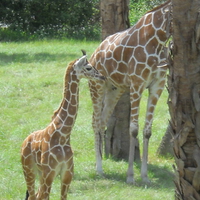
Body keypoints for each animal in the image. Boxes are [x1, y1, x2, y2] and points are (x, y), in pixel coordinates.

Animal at [20, 50, 105, 200]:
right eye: (88, 67)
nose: (102, 77)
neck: (63, 135)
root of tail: (25, 141)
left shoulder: (67, 174)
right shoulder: (50, 173)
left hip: (40, 173)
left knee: (36, 195)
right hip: (29, 170)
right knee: (33, 196)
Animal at [88, 0, 171, 184]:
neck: (158, 40)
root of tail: (93, 55)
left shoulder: (158, 85)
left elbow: (147, 130)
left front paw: (145, 176)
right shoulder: (137, 83)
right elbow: (133, 129)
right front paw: (131, 176)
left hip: (114, 90)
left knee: (102, 122)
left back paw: (101, 163)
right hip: (96, 86)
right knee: (95, 123)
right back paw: (99, 168)